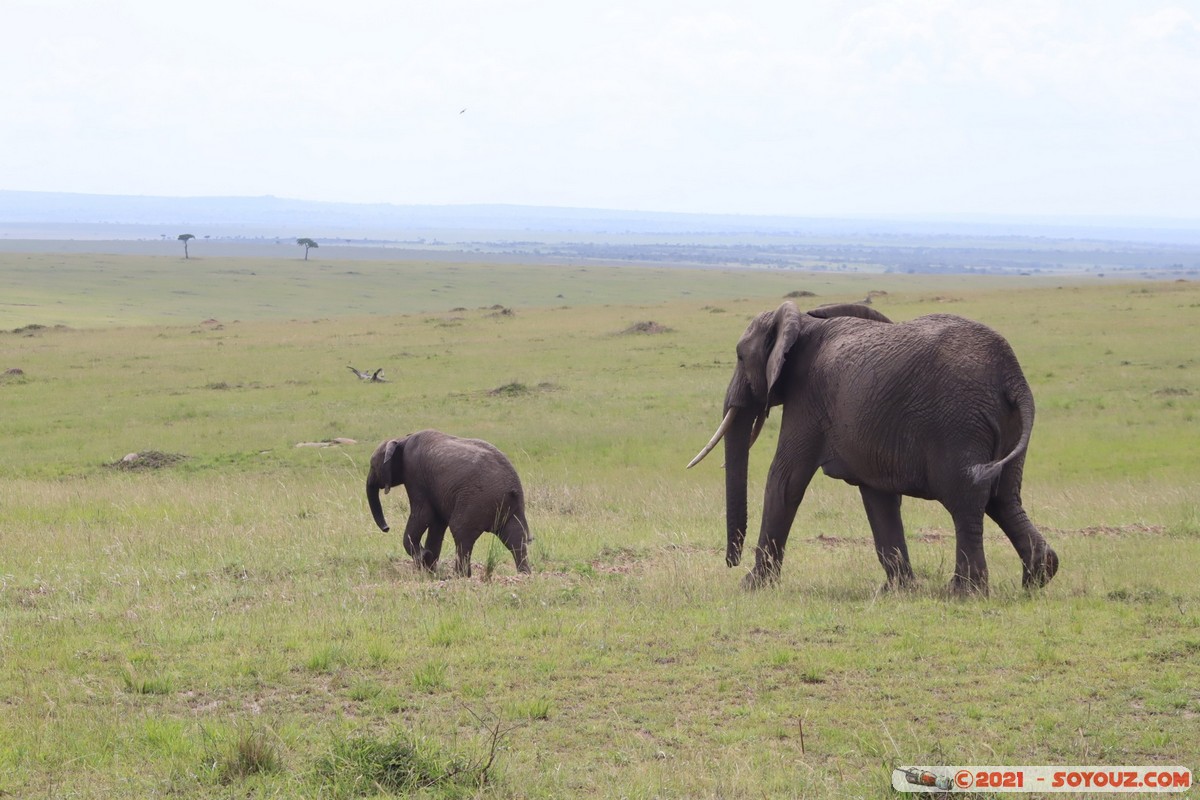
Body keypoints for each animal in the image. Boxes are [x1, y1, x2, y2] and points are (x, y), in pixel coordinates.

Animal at [367, 429, 532, 578]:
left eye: (372, 466)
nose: (387, 528)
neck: (402, 439)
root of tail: (512, 487)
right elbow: (437, 522)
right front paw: (429, 569)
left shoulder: (414, 474)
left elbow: (423, 514)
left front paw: (424, 558)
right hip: (510, 506)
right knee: (515, 536)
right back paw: (524, 575)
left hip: (476, 500)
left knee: (461, 531)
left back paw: (460, 576)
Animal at [691, 302, 1056, 594]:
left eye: (740, 356)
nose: (731, 562)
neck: (805, 322)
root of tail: (1012, 377)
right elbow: (877, 495)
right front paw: (898, 590)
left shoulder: (807, 397)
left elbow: (786, 479)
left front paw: (751, 586)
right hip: (1003, 423)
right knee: (1004, 498)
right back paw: (1039, 576)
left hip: (958, 421)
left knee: (967, 498)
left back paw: (964, 592)